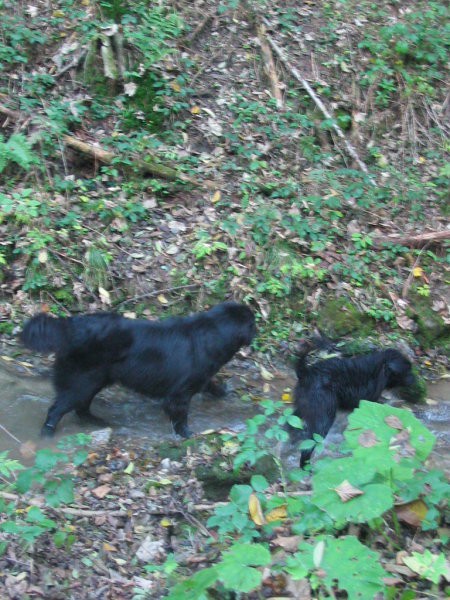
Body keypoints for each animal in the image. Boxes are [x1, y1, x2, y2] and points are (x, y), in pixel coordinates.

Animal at [21, 304, 255, 436]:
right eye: (252, 323)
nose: (258, 328)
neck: (211, 333)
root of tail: (69, 327)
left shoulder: (200, 378)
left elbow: (210, 384)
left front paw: (222, 391)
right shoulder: (179, 393)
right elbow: (180, 415)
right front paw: (186, 434)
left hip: (94, 380)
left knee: (81, 407)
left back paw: (97, 421)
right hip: (82, 381)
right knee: (58, 408)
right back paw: (47, 433)